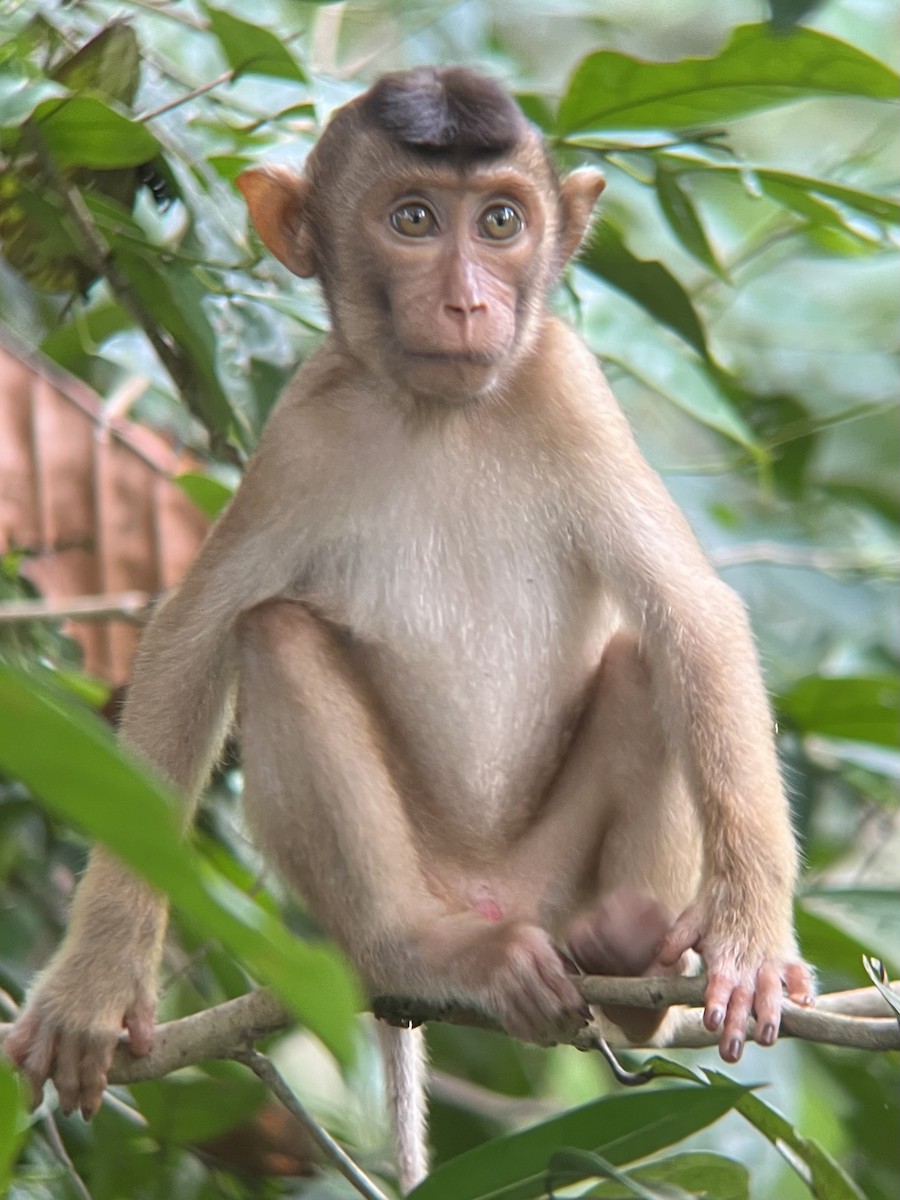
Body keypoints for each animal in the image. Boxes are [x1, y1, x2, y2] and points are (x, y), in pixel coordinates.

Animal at [5, 67, 814, 1193]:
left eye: (503, 221)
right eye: (414, 220)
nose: (469, 300)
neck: (443, 412)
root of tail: (489, 894)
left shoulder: (568, 386)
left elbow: (690, 617)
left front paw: (748, 939)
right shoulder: (301, 431)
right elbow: (191, 635)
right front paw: (94, 983)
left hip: (549, 875)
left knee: (647, 660)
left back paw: (627, 965)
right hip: (414, 877)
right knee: (274, 636)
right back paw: (421, 951)